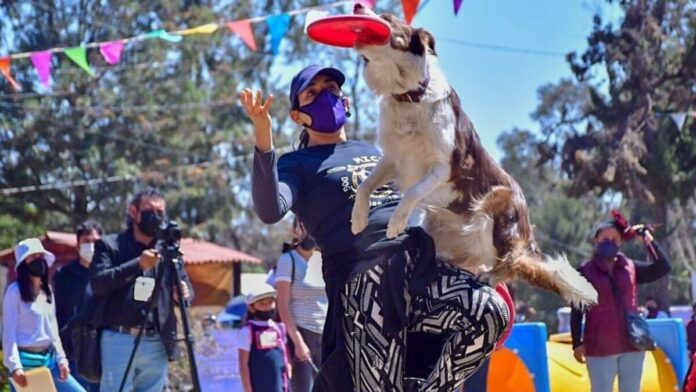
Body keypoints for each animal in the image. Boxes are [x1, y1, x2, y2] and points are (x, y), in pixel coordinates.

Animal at [350, 6, 596, 306]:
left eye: (386, 17)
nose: (358, 7)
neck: (408, 95)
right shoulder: (393, 157)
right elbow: (365, 186)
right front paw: (358, 219)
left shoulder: (445, 166)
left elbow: (412, 192)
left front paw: (396, 223)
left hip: (496, 204)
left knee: (512, 263)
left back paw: (492, 275)